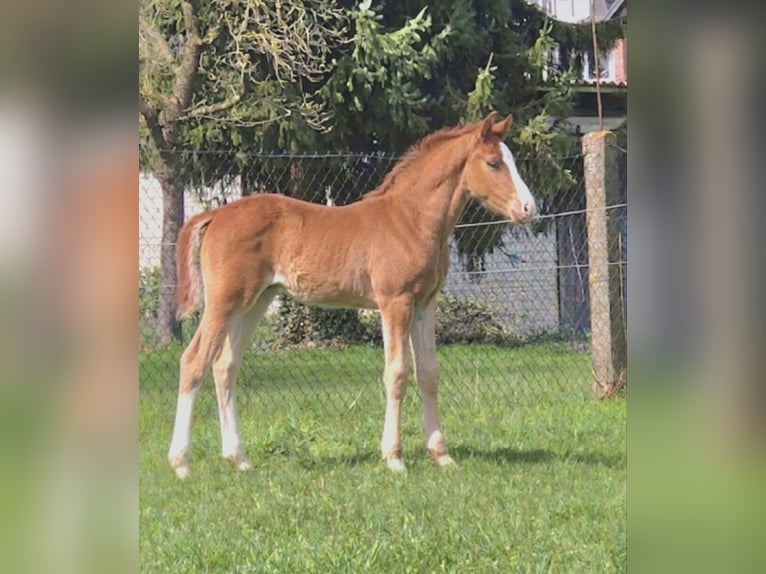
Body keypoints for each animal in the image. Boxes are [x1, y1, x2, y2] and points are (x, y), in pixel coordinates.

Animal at [168, 112, 537, 479]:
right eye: (493, 163)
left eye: (513, 160)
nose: (528, 208)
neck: (411, 220)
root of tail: (215, 215)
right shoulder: (395, 302)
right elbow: (397, 373)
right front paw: (394, 458)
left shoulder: (425, 303)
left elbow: (429, 373)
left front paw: (441, 455)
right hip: (224, 300)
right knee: (194, 361)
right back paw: (181, 463)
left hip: (255, 302)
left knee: (224, 365)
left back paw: (239, 459)